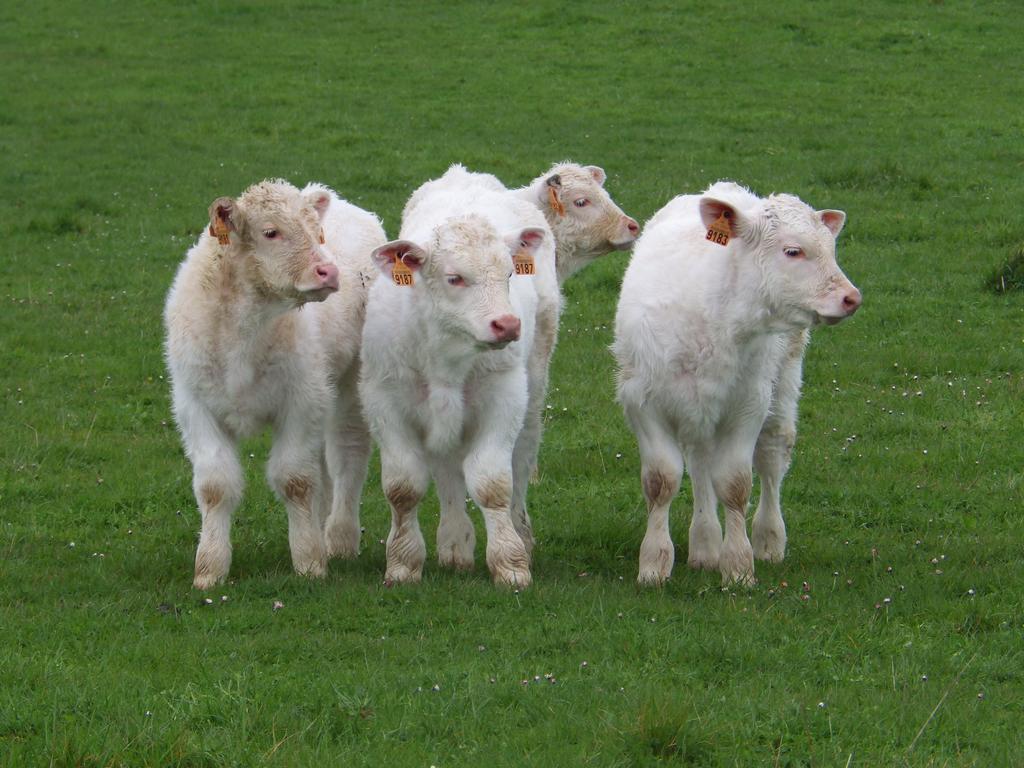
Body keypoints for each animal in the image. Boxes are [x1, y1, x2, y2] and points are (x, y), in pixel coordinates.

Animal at [165, 180, 385, 589]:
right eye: (271, 232)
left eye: (317, 233)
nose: (329, 271)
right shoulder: (195, 407)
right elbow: (215, 486)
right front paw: (209, 568)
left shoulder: (301, 401)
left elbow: (294, 479)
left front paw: (309, 561)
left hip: (350, 383)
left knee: (347, 455)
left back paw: (339, 538)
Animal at [610, 182, 860, 589]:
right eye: (793, 251)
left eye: (831, 249)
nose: (851, 298)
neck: (716, 313)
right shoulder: (643, 402)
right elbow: (662, 480)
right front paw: (654, 564)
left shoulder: (748, 406)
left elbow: (735, 483)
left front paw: (739, 566)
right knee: (699, 461)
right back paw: (705, 544)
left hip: (781, 386)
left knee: (772, 457)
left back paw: (768, 540)